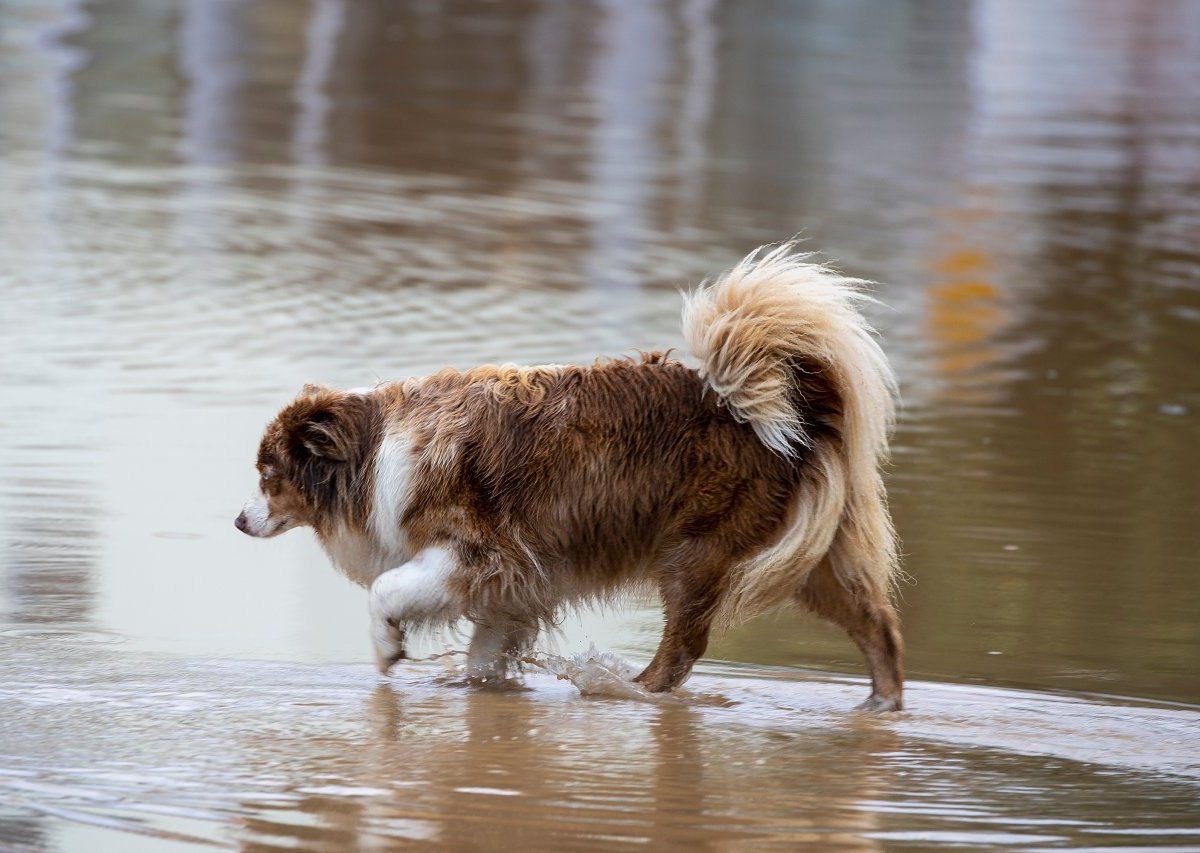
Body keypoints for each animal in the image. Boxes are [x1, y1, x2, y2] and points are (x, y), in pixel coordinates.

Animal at [234, 243, 902, 710]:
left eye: (268, 473)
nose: (239, 520)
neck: (373, 449)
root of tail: (784, 413)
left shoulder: (476, 553)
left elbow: (385, 589)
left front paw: (387, 648)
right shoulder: (511, 588)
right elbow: (483, 656)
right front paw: (479, 694)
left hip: (694, 551)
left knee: (685, 646)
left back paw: (631, 689)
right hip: (809, 561)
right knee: (878, 626)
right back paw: (882, 704)